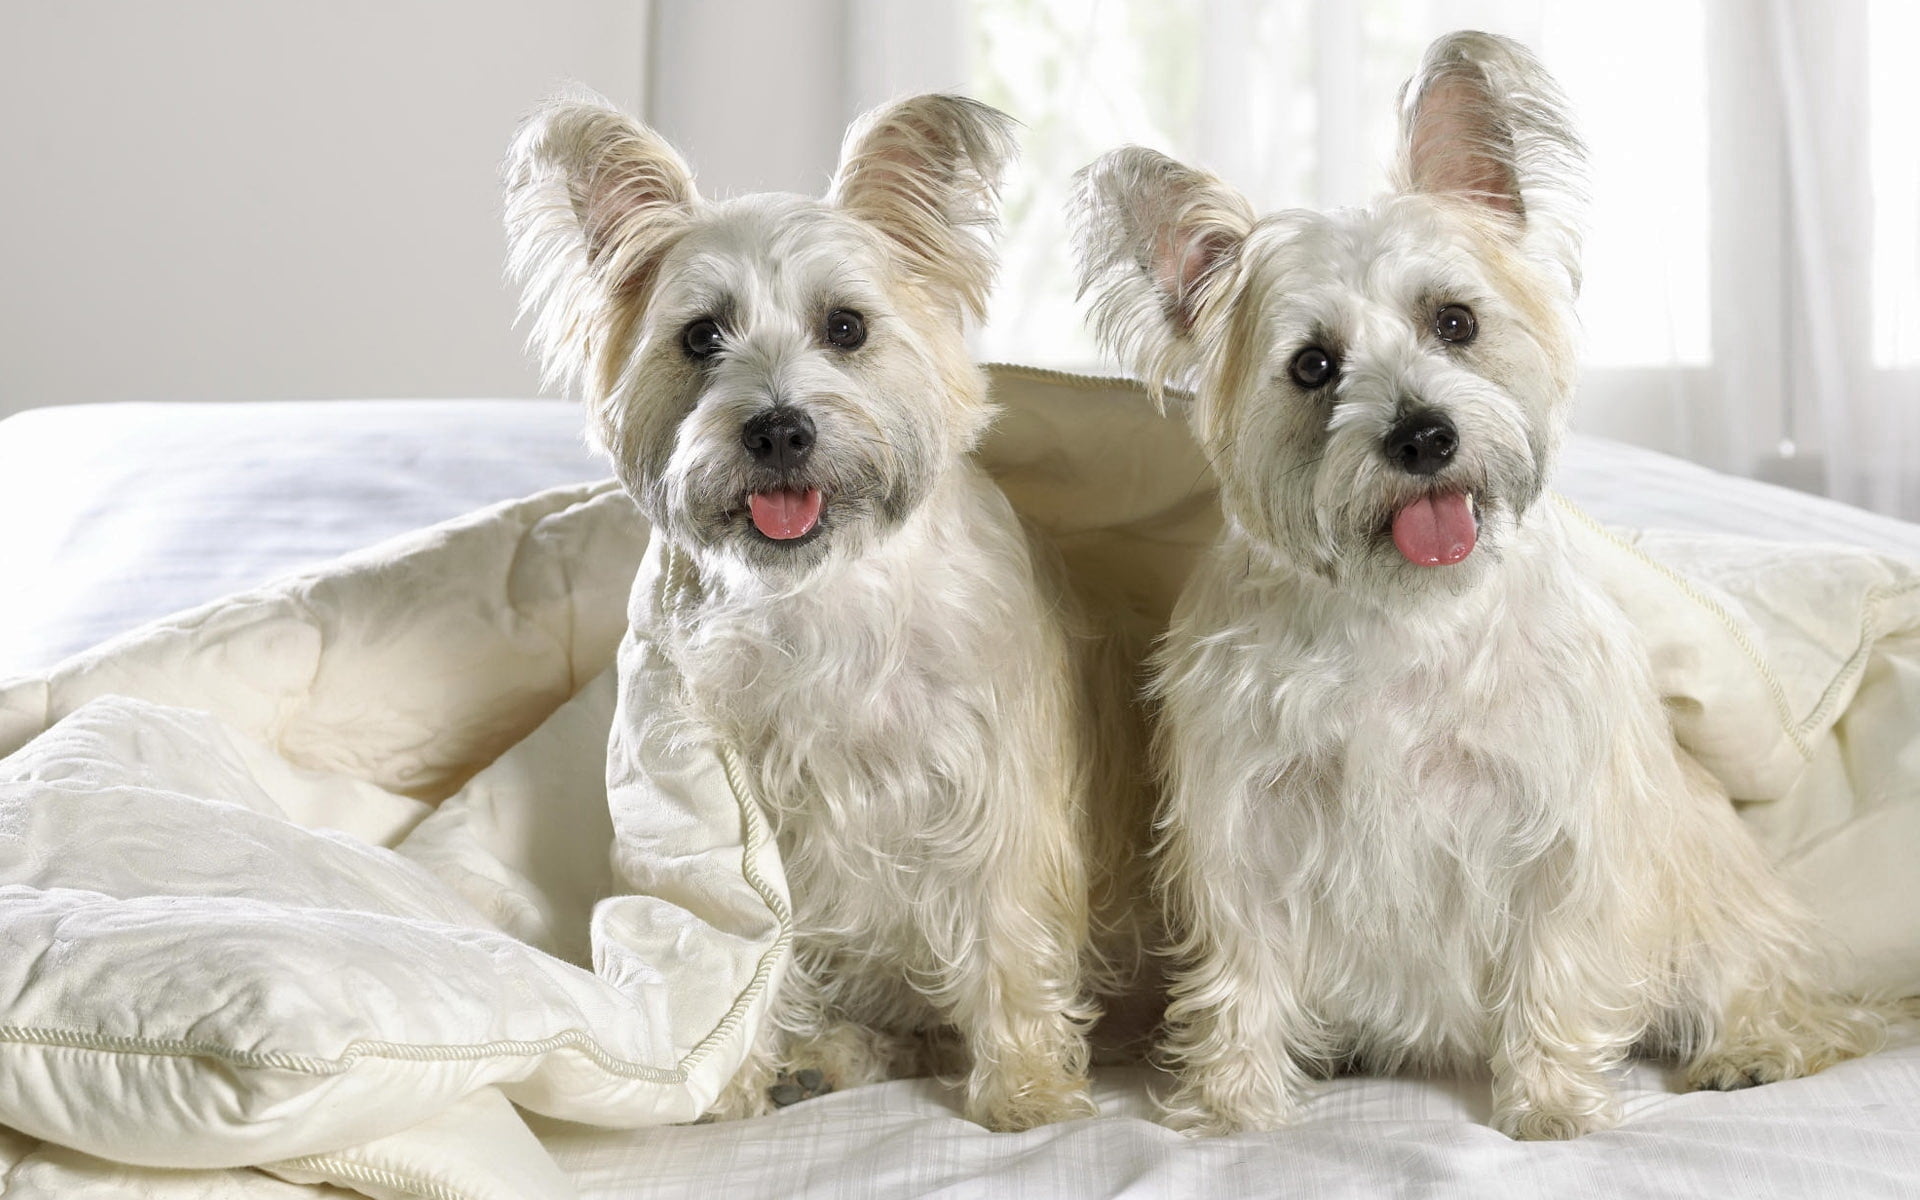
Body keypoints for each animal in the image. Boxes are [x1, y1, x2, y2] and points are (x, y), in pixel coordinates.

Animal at [510, 91, 1136, 1121]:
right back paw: (826, 1057)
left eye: (845, 327)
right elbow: (747, 948)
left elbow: (1007, 937)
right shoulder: (725, 806)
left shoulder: (995, 793)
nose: (777, 429)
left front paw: (1028, 1090)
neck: (816, 586)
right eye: (700, 336)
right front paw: (730, 1079)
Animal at [1075, 28, 1881, 1128]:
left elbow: (1554, 958)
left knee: (1777, 994)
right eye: (1313, 365)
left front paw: (1548, 1100)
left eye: (1454, 321)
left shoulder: (1554, 826)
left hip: (1714, 904)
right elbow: (1244, 969)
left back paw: (1751, 1049)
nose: (1422, 436)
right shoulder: (1248, 821)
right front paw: (1233, 1102)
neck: (1403, 615)